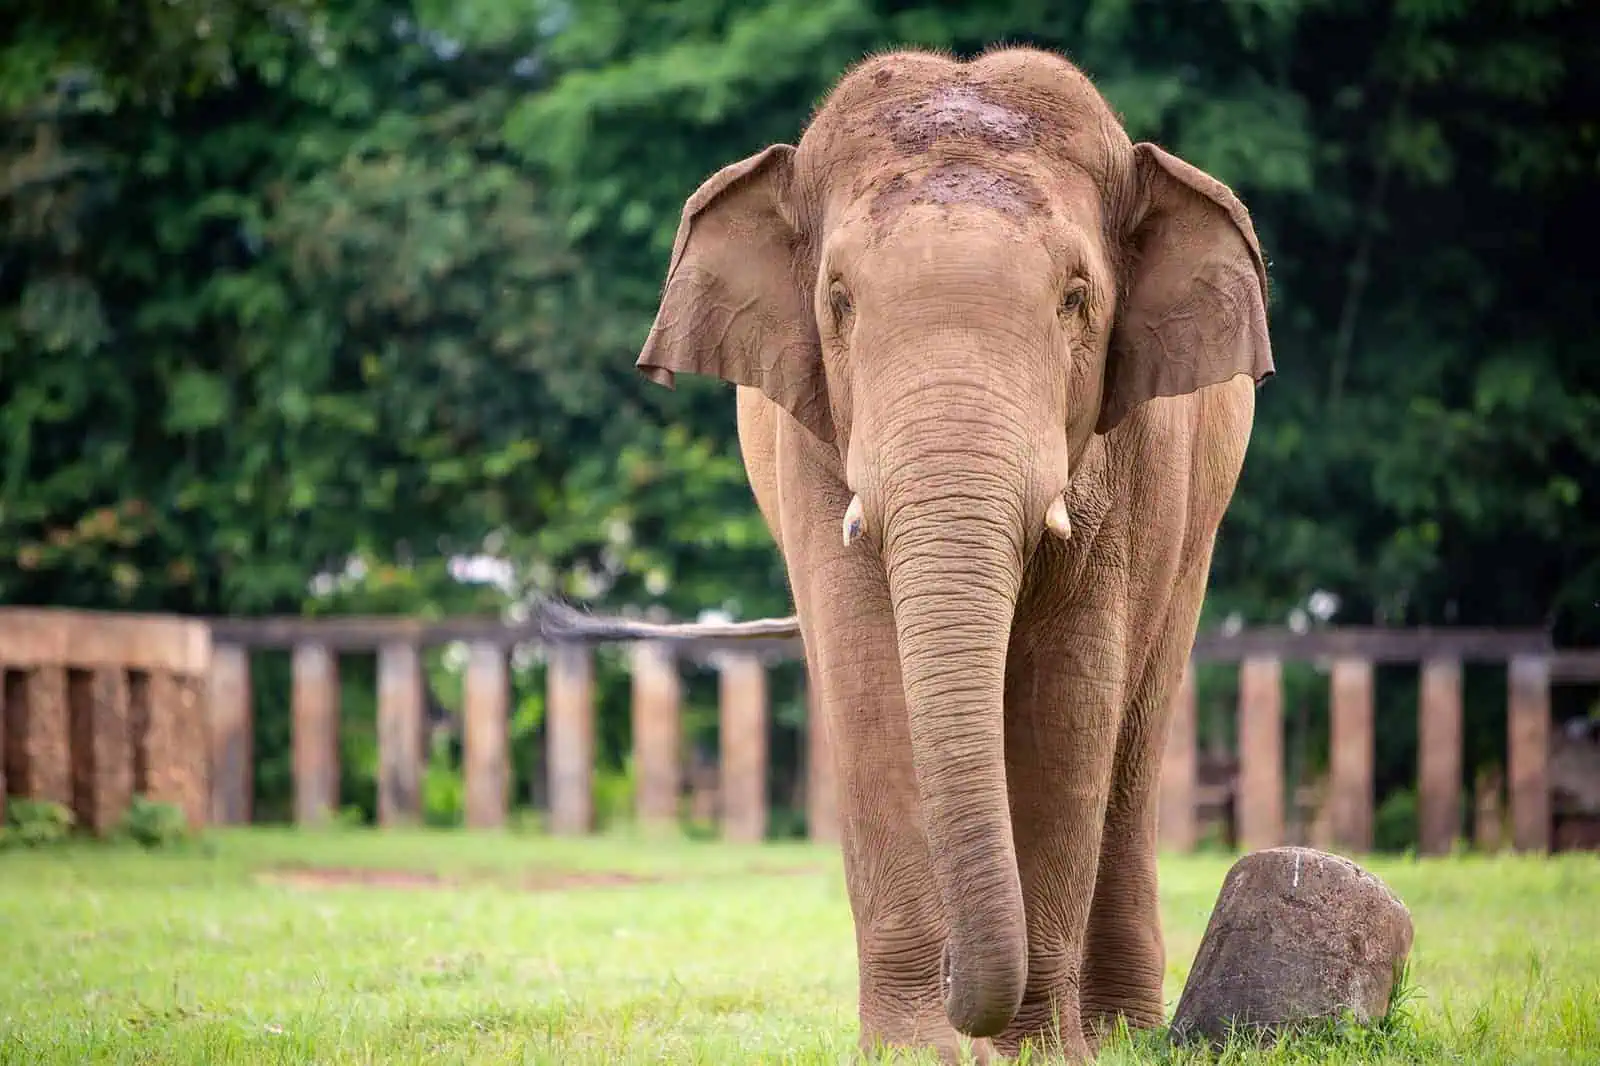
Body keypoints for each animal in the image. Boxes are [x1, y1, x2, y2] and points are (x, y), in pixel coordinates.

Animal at [561, 45, 1274, 1064]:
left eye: (1077, 300)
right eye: (838, 302)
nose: (951, 984)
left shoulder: (1137, 455)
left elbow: (1069, 697)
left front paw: (1031, 1051)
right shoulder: (810, 443)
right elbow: (867, 674)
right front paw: (917, 1049)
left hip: (1198, 519)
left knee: (1135, 733)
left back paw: (1120, 1035)